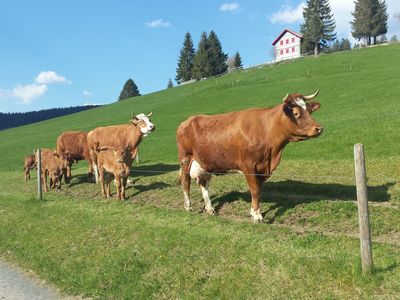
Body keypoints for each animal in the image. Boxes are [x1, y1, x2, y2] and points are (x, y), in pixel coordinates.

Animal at [175, 90, 322, 221]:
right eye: (296, 113)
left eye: (309, 111)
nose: (319, 128)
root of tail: (186, 121)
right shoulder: (249, 166)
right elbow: (255, 190)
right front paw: (257, 215)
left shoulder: (261, 168)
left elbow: (258, 191)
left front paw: (253, 212)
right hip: (186, 159)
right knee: (185, 181)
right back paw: (188, 207)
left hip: (204, 163)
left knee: (204, 185)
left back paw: (210, 209)